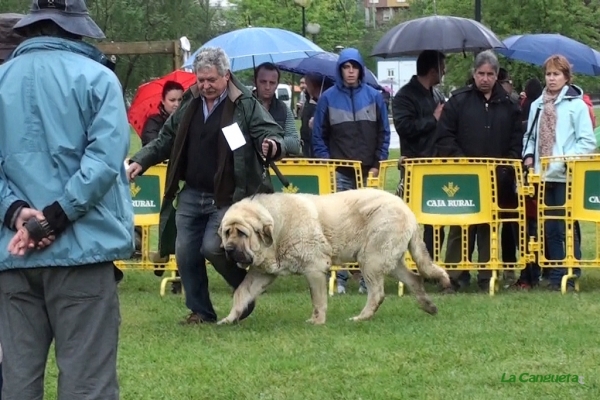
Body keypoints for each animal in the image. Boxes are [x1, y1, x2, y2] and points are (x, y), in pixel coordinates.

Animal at [216, 188, 450, 324]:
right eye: (227, 232)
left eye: (242, 233)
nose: (228, 249)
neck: (278, 227)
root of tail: (406, 209)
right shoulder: (260, 274)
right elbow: (241, 293)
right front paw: (229, 318)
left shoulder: (314, 269)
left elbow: (317, 299)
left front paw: (317, 321)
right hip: (389, 261)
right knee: (415, 279)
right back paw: (428, 306)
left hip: (371, 260)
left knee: (377, 293)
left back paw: (361, 317)